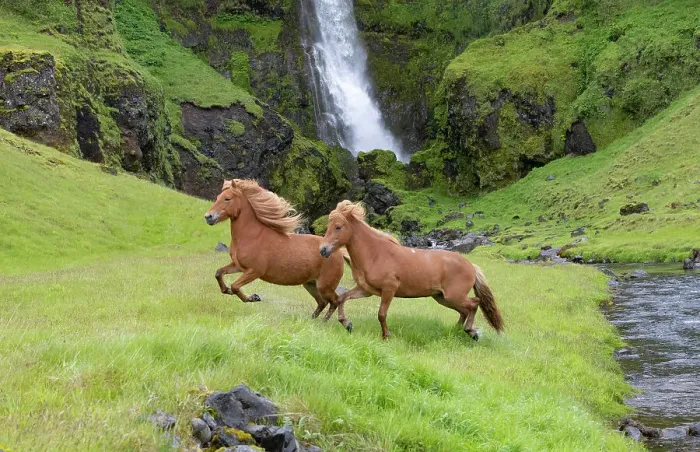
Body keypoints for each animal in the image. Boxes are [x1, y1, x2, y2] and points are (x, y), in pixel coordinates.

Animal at [204, 179, 349, 320]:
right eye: (217, 197)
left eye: (227, 198)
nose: (208, 217)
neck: (252, 236)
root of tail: (338, 252)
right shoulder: (239, 266)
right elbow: (219, 273)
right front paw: (227, 290)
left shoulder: (254, 271)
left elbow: (235, 286)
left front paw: (253, 297)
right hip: (311, 284)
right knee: (322, 302)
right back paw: (312, 319)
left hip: (324, 286)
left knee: (335, 301)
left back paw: (332, 322)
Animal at [319, 200, 504, 340]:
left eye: (338, 227)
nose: (323, 250)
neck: (376, 254)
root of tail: (471, 266)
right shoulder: (366, 290)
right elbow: (342, 298)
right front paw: (347, 324)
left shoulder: (389, 289)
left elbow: (381, 314)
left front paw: (386, 336)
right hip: (443, 298)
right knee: (465, 310)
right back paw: (456, 331)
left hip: (454, 296)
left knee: (474, 304)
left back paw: (471, 332)